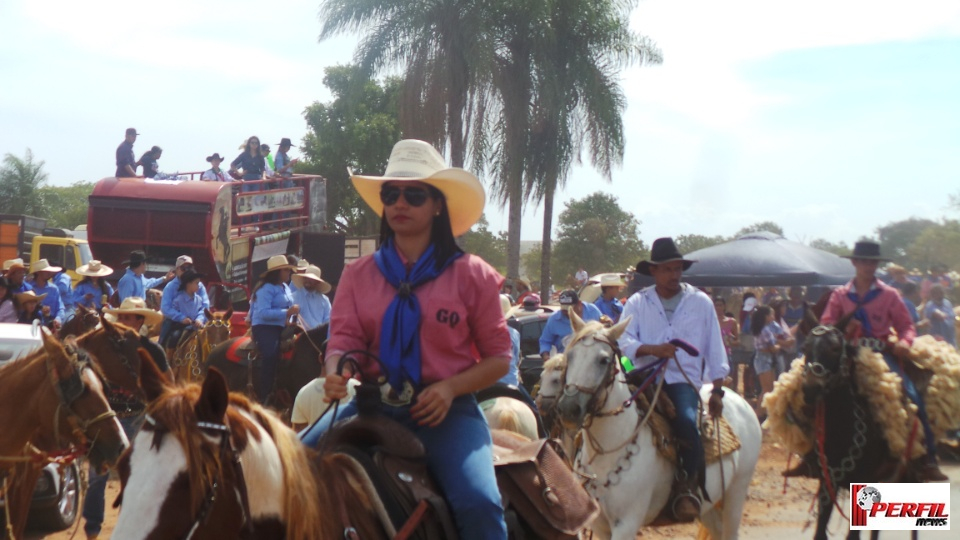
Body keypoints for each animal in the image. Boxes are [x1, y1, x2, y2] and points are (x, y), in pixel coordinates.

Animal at [560, 312, 760, 540]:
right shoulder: (599, 525)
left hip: (736, 492)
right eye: (570, 356)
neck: (605, 452)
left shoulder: (627, 523)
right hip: (708, 507)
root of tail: (742, 402)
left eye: (603, 360)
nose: (569, 408)